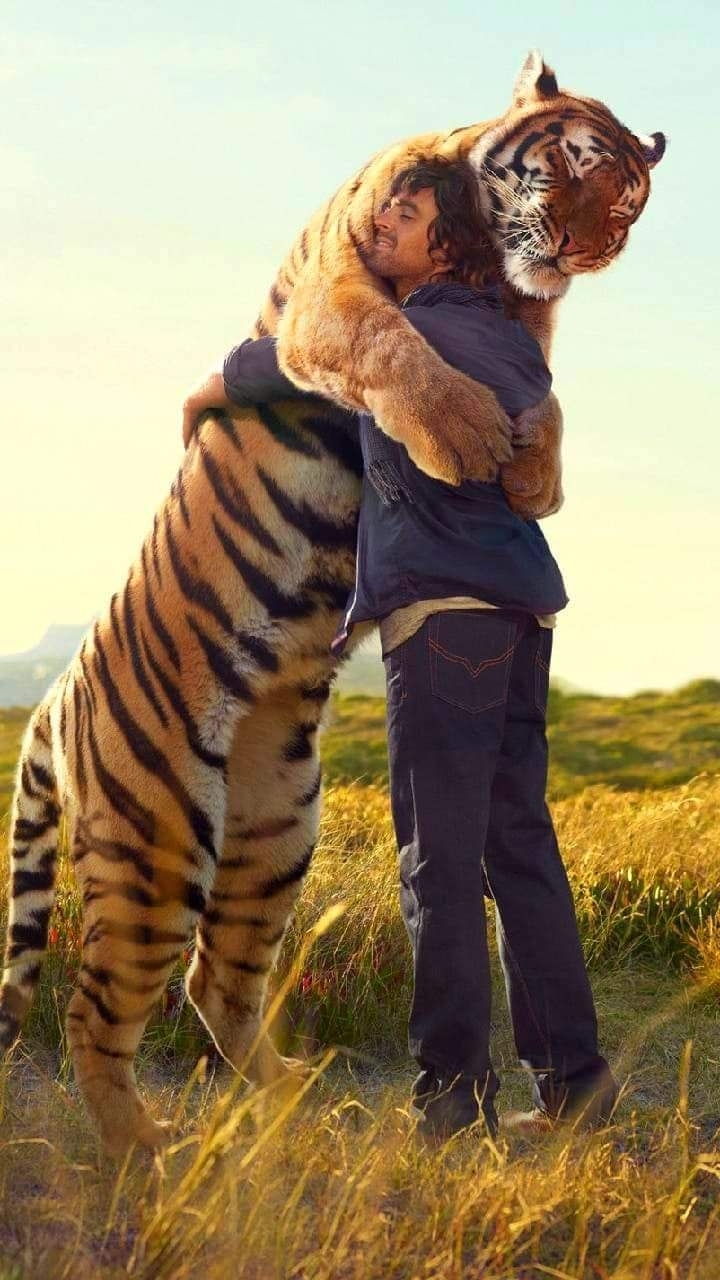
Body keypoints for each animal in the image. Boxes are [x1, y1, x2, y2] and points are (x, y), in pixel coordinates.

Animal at [0, 51, 665, 1156]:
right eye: (574, 161)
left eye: (625, 201)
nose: (586, 247)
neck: (491, 266)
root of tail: (53, 698)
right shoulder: (334, 296)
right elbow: (390, 343)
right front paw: (471, 438)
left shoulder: (529, 332)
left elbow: (548, 396)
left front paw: (533, 474)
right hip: (158, 841)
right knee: (99, 1010)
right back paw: (148, 1153)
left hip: (274, 827)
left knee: (216, 981)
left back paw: (296, 1113)